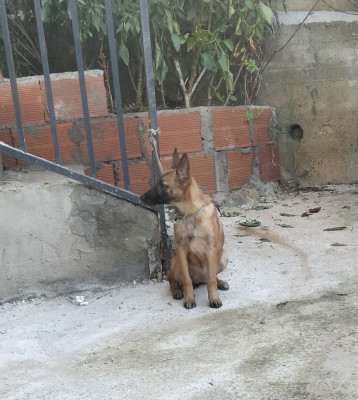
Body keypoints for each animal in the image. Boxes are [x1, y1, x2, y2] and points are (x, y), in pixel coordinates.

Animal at [141, 148, 229, 308]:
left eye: (163, 186)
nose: (141, 198)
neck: (190, 215)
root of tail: (199, 279)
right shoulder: (181, 250)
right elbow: (187, 280)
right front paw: (189, 299)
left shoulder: (210, 251)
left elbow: (211, 280)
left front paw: (214, 298)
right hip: (176, 262)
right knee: (173, 281)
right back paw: (177, 291)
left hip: (222, 257)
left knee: (209, 277)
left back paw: (220, 282)